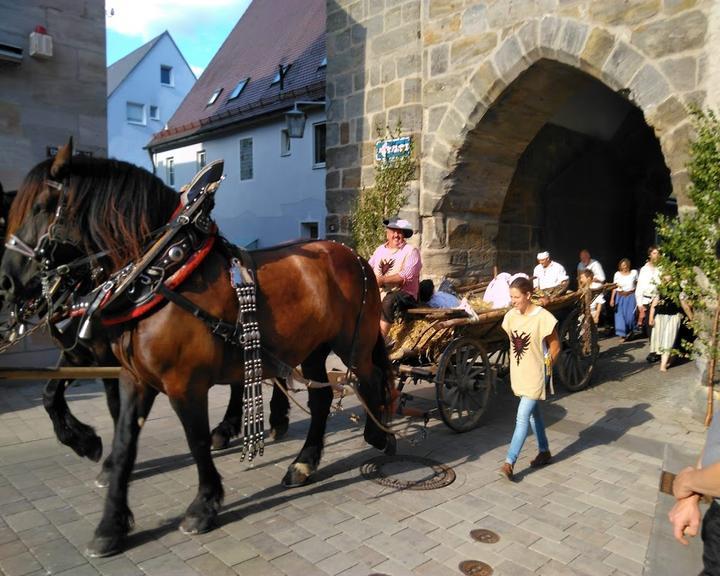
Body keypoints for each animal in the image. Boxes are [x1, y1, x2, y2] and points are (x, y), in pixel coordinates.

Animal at [0, 145, 394, 560]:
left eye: (42, 206)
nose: (6, 283)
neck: (157, 275)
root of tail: (355, 256)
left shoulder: (183, 383)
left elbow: (196, 440)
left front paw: (203, 505)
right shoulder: (132, 377)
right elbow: (122, 438)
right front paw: (110, 522)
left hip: (353, 344)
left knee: (371, 379)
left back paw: (378, 434)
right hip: (312, 349)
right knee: (320, 399)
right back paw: (303, 463)